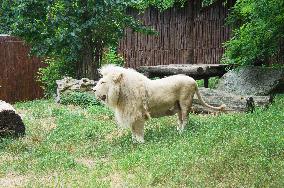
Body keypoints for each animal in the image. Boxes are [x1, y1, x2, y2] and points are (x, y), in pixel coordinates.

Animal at [94, 65, 225, 143]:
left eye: (103, 82)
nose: (93, 90)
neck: (121, 93)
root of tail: (193, 80)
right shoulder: (131, 114)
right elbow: (133, 129)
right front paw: (133, 141)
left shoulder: (138, 113)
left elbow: (138, 129)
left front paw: (140, 142)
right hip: (178, 105)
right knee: (180, 119)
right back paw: (177, 130)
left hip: (185, 102)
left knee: (185, 119)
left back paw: (182, 132)